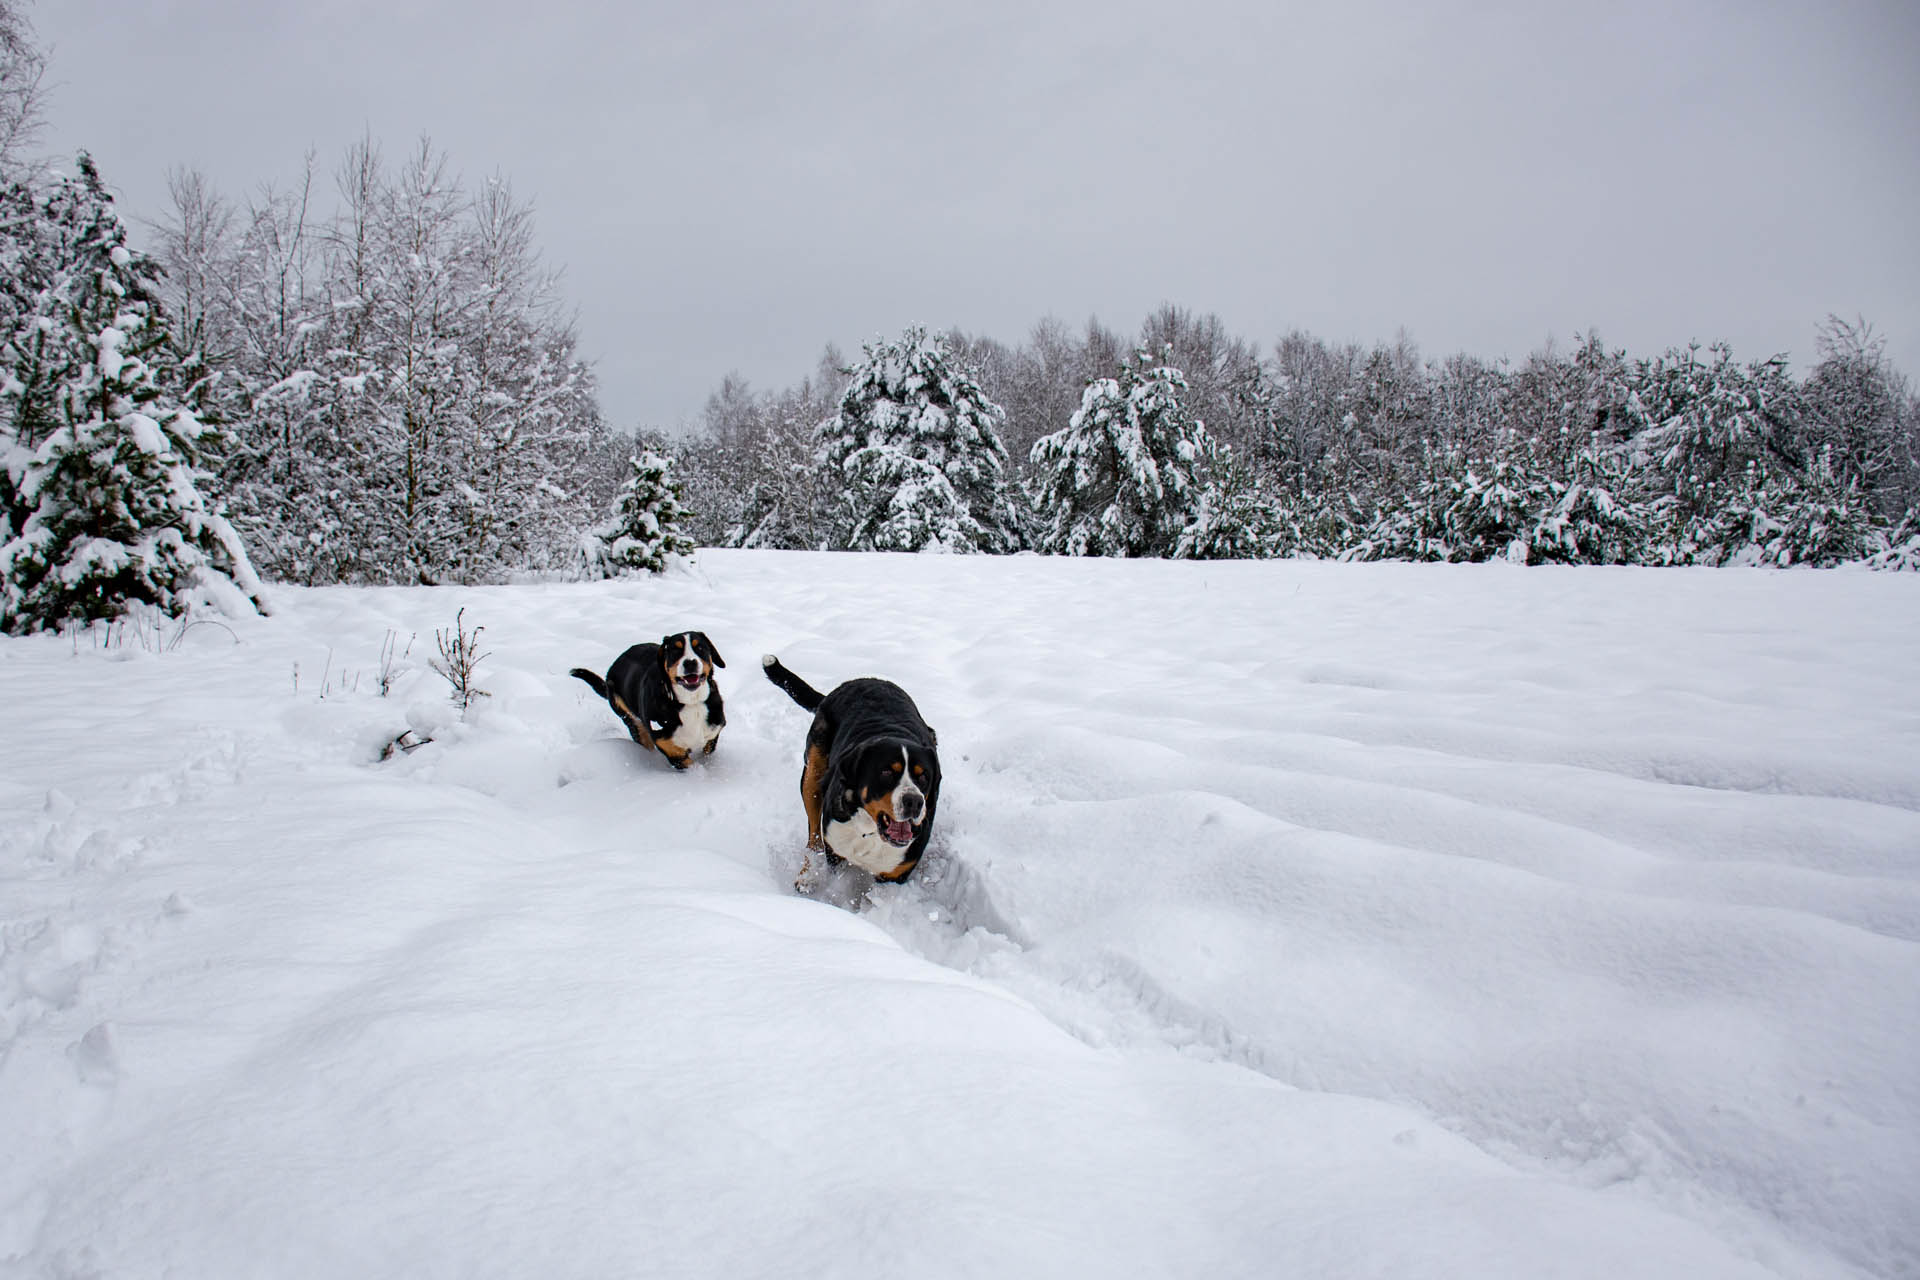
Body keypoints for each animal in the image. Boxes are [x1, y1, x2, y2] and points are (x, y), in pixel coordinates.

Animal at [568, 633, 725, 771]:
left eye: (700, 648)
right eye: (675, 650)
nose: (690, 662)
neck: (691, 702)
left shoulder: (714, 729)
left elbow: (708, 748)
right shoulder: (666, 743)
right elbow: (685, 760)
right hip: (630, 718)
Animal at [764, 656, 944, 886]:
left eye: (923, 776)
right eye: (886, 772)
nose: (914, 801)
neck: (871, 832)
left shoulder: (896, 874)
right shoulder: (836, 851)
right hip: (812, 777)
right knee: (813, 835)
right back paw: (807, 878)